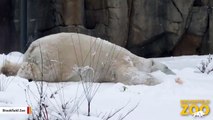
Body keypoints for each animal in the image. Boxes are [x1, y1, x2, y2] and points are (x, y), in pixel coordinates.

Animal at [4, 32, 174, 85]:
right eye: (167, 67)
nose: (171, 72)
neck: (133, 58)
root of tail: (32, 45)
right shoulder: (119, 61)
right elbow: (129, 76)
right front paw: (158, 80)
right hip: (53, 55)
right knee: (46, 71)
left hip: (37, 54)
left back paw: (6, 68)